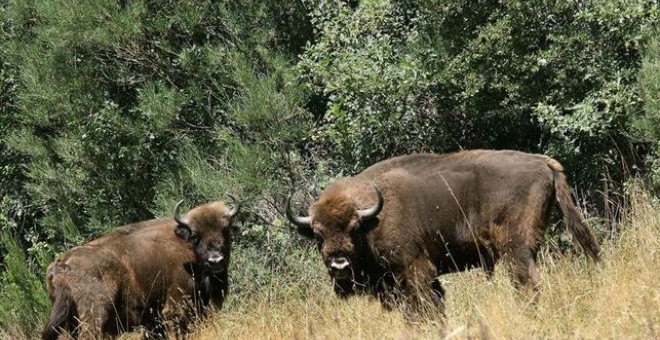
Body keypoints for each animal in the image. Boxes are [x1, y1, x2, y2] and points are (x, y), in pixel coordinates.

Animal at [40, 197, 240, 340]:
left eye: (226, 230)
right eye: (196, 236)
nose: (216, 260)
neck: (186, 247)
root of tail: (60, 265)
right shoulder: (176, 309)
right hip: (95, 316)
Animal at [286, 150, 600, 314]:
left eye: (353, 229)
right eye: (318, 234)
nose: (339, 264)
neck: (372, 219)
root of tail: (542, 162)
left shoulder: (413, 271)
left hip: (516, 248)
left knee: (528, 283)